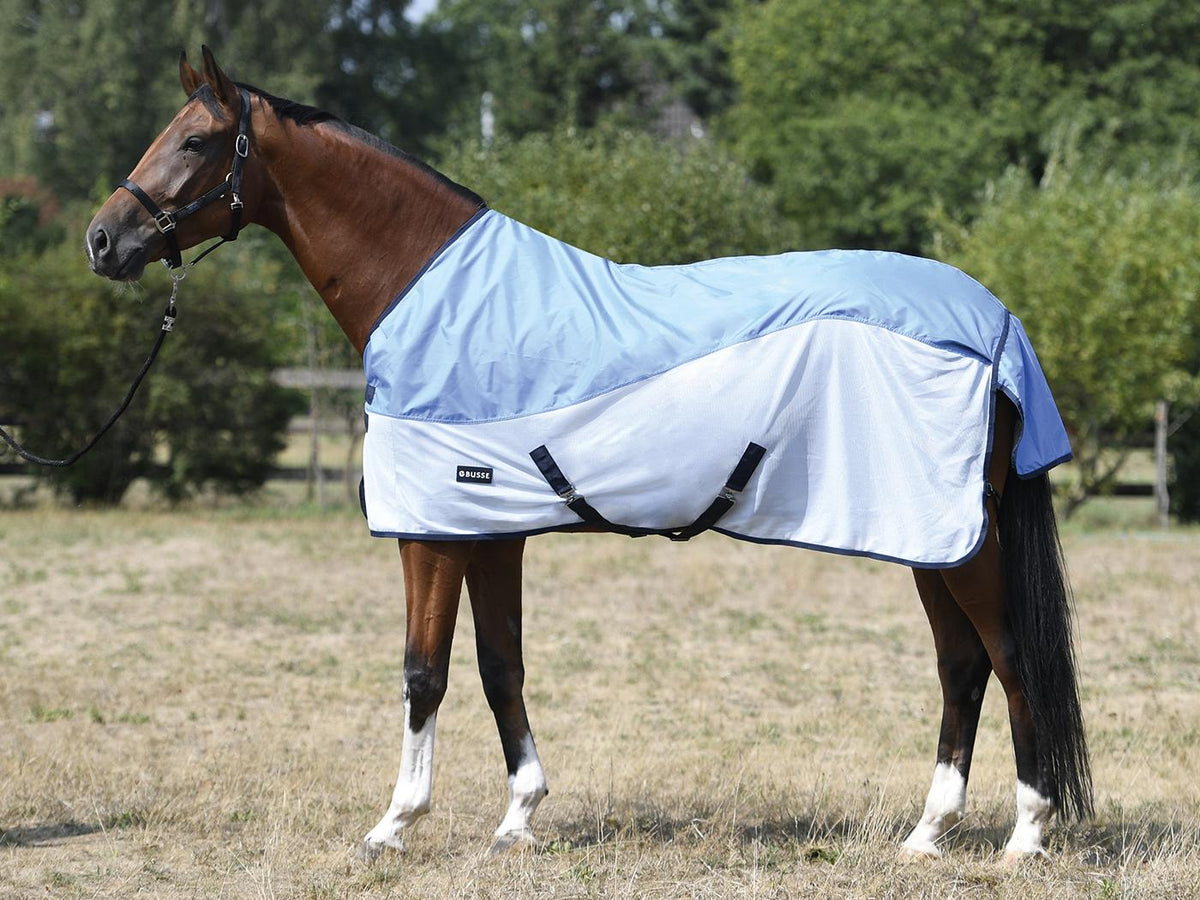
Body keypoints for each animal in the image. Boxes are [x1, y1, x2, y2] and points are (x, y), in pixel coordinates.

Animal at [85, 47, 1091, 863]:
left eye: (196, 141)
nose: (103, 240)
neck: (433, 295)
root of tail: (998, 324)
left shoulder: (433, 532)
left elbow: (424, 670)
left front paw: (394, 824)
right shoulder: (488, 529)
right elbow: (501, 666)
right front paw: (517, 819)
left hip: (961, 541)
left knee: (1010, 660)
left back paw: (1026, 836)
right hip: (929, 536)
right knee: (962, 668)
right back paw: (928, 834)